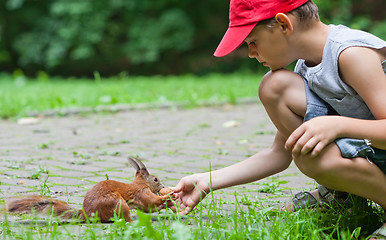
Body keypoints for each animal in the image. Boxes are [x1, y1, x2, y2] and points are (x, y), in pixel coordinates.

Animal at [6, 158, 174, 223]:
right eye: (155, 179)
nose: (162, 187)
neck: (140, 184)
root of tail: (88, 212)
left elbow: (148, 208)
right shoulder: (142, 193)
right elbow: (151, 203)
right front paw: (168, 196)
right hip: (118, 203)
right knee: (123, 218)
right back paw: (133, 221)